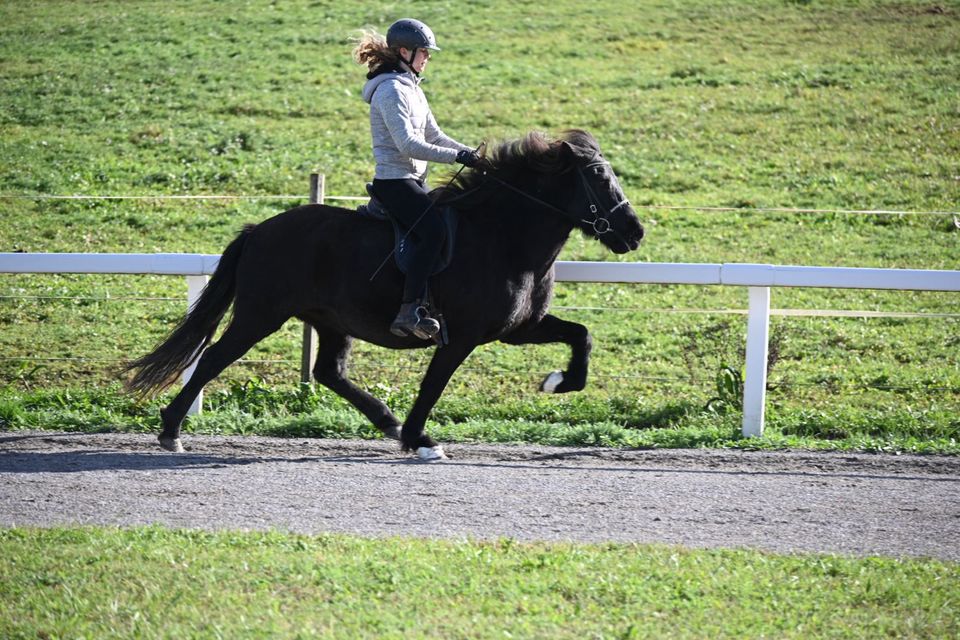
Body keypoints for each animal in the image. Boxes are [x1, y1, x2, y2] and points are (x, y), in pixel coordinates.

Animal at [124, 131, 640, 460]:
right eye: (598, 175)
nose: (635, 232)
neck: (502, 237)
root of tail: (259, 230)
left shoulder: (517, 328)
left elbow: (582, 335)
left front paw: (559, 382)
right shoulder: (462, 335)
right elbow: (433, 386)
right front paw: (419, 439)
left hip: (330, 321)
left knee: (328, 372)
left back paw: (385, 421)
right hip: (260, 315)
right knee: (214, 357)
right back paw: (171, 431)